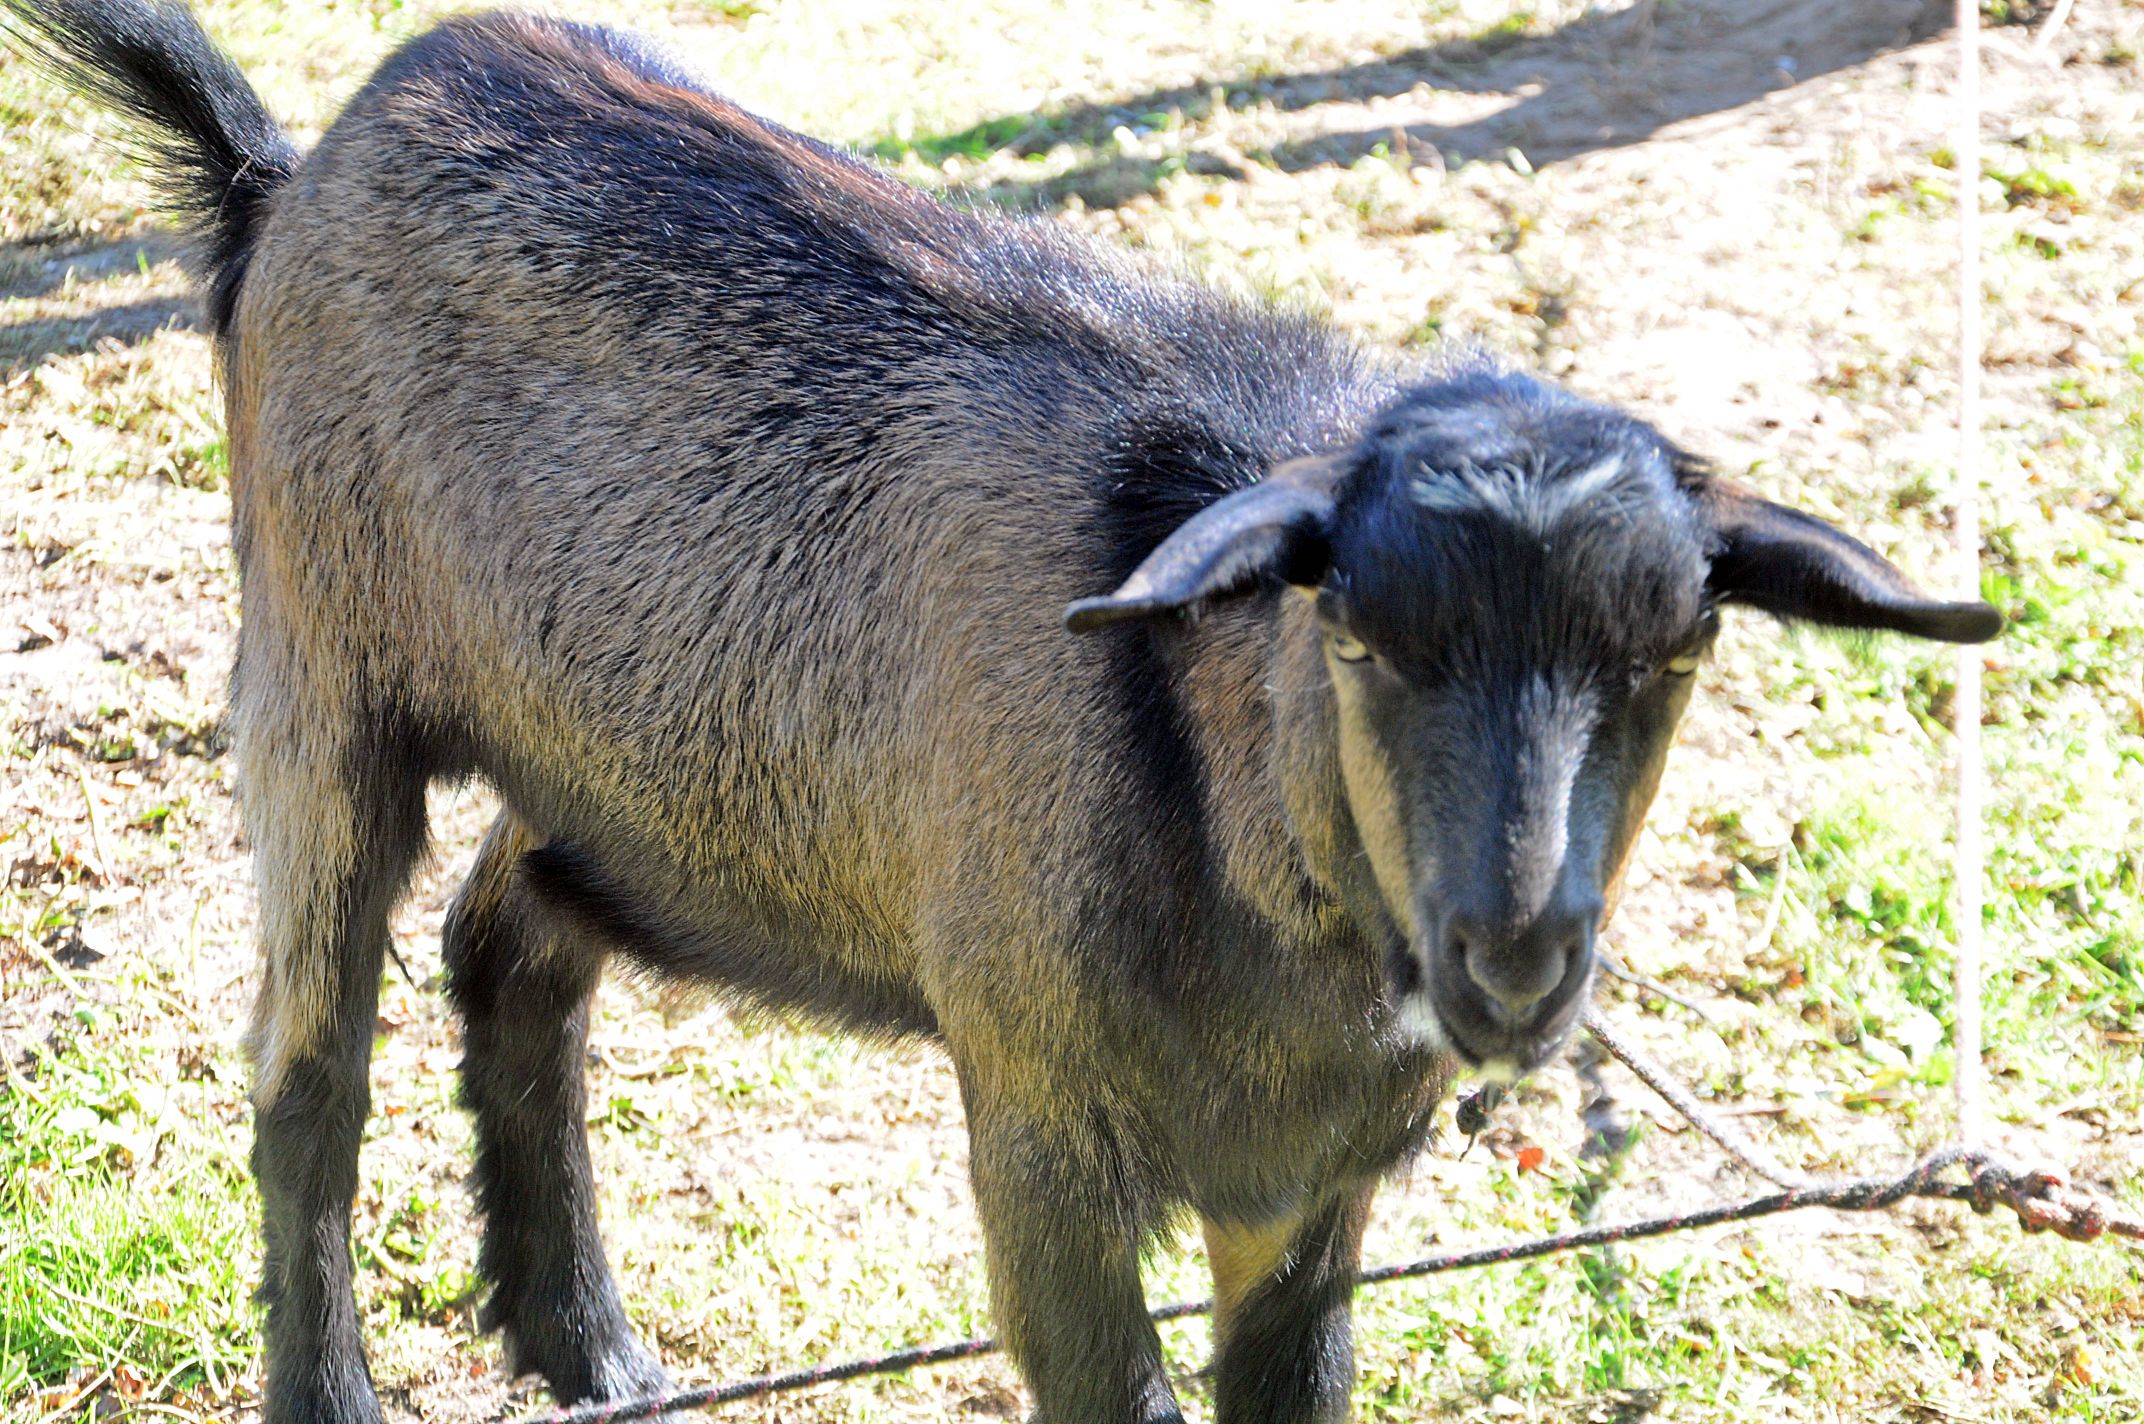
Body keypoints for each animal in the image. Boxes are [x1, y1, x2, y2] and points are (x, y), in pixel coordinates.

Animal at [4, 2, 2006, 1423]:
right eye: (1359, 637)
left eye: (1672, 651)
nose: (1511, 963)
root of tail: (283, 173)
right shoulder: (1040, 1122)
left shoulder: (1303, 1189)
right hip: (320, 669)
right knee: (306, 1074)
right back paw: (344, 1380)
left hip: (617, 766)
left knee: (516, 944)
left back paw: (591, 1351)